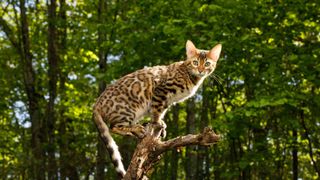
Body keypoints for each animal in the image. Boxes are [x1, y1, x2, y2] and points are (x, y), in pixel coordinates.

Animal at [94, 40, 221, 177]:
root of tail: (96, 104)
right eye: (195, 62)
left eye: (207, 63)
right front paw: (157, 123)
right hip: (128, 110)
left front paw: (161, 124)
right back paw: (137, 129)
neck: (190, 75)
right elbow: (156, 111)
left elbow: (161, 111)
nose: (201, 70)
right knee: (113, 127)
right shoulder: (161, 91)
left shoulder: (167, 101)